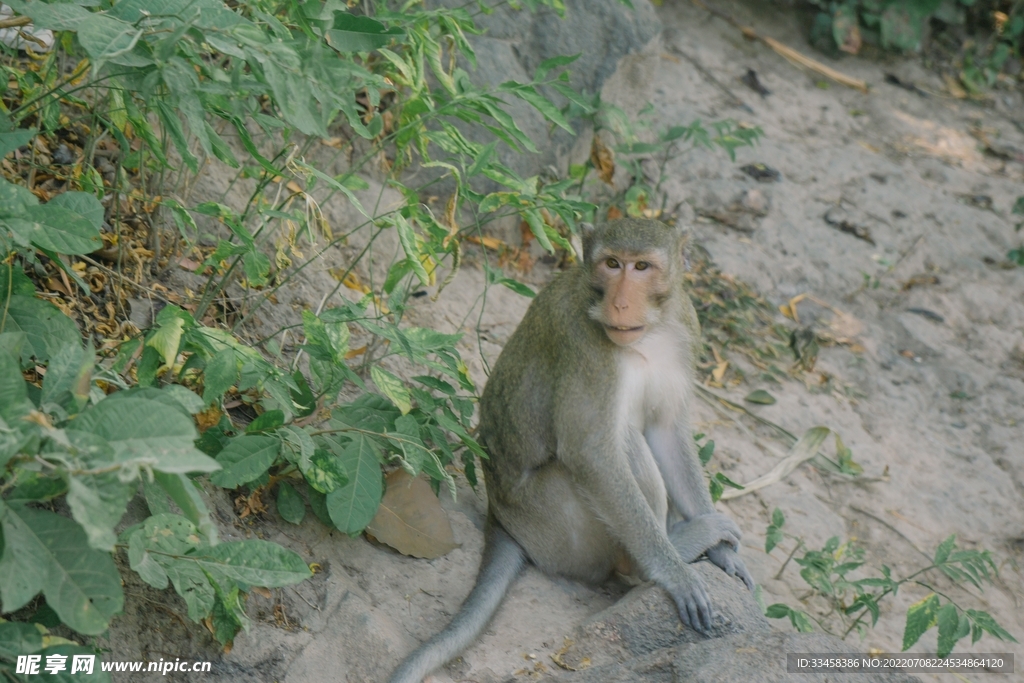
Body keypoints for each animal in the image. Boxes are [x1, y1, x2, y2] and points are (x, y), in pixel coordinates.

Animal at [387, 218, 757, 683]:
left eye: (641, 267)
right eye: (611, 264)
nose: (620, 303)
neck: (650, 332)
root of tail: (501, 519)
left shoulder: (685, 329)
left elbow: (668, 431)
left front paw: (725, 557)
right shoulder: (585, 344)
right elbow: (590, 452)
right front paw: (674, 573)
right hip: (560, 524)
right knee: (619, 441)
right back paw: (664, 555)